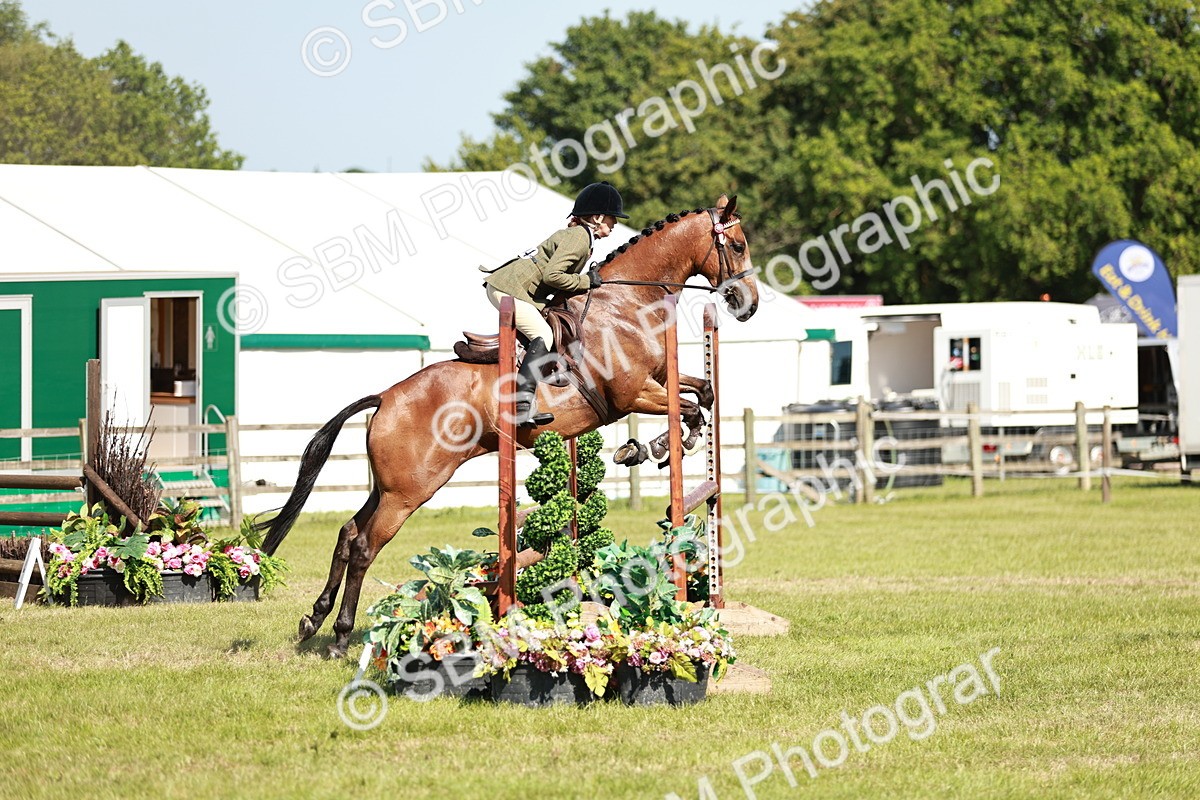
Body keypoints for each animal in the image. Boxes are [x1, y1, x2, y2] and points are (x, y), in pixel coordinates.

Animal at [259, 193, 760, 656]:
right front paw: (654, 447)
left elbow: (704, 394)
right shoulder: (634, 393)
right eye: (737, 245)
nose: (749, 304)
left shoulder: (658, 382)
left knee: (347, 533)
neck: (625, 304)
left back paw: (314, 620)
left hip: (389, 486)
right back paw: (342, 636)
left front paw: (657, 446)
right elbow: (688, 408)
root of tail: (386, 397)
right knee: (364, 545)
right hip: (409, 491)